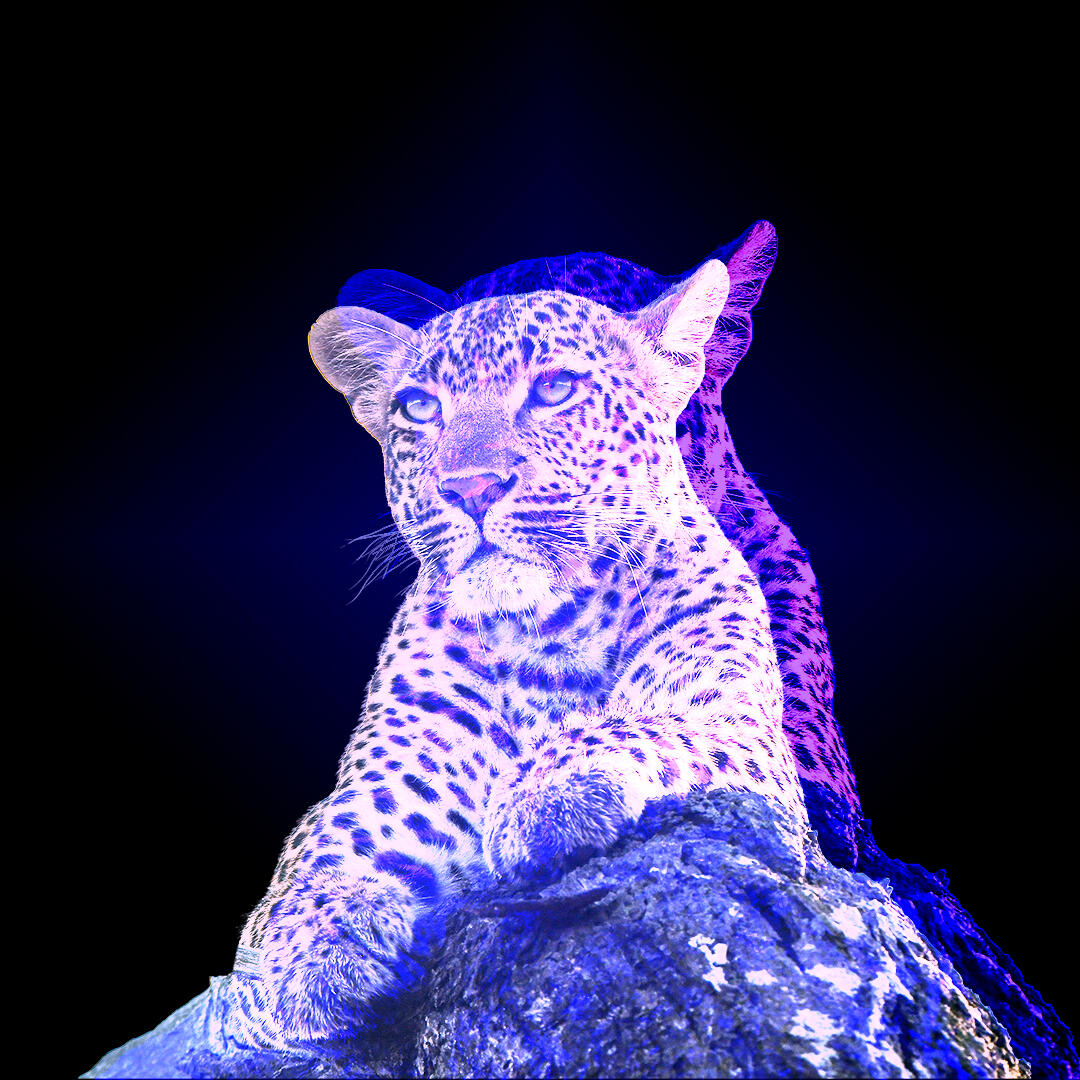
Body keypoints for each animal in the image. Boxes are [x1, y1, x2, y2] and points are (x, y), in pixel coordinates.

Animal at [216, 222, 860, 1050]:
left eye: (554, 390)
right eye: (418, 408)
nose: (471, 488)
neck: (555, 633)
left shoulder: (743, 727)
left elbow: (655, 725)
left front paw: (545, 789)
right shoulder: (376, 789)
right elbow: (320, 854)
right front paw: (313, 961)